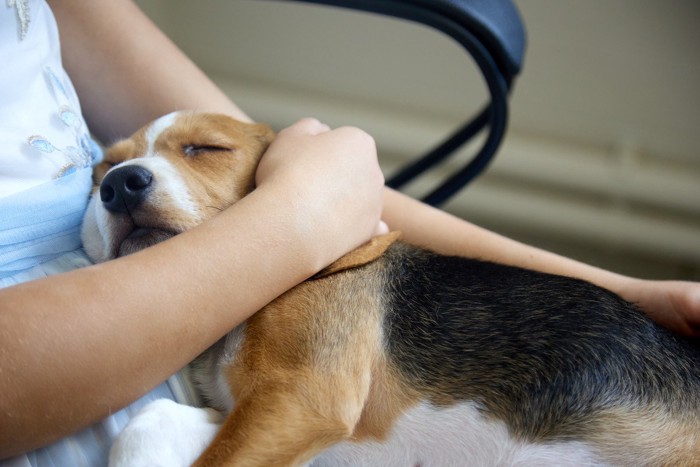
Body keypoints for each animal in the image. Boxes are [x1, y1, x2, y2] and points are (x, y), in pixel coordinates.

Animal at [83, 111, 700, 466]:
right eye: (102, 170)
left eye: (207, 149)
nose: (120, 184)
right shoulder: (260, 417)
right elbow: (149, 424)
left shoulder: (302, 399)